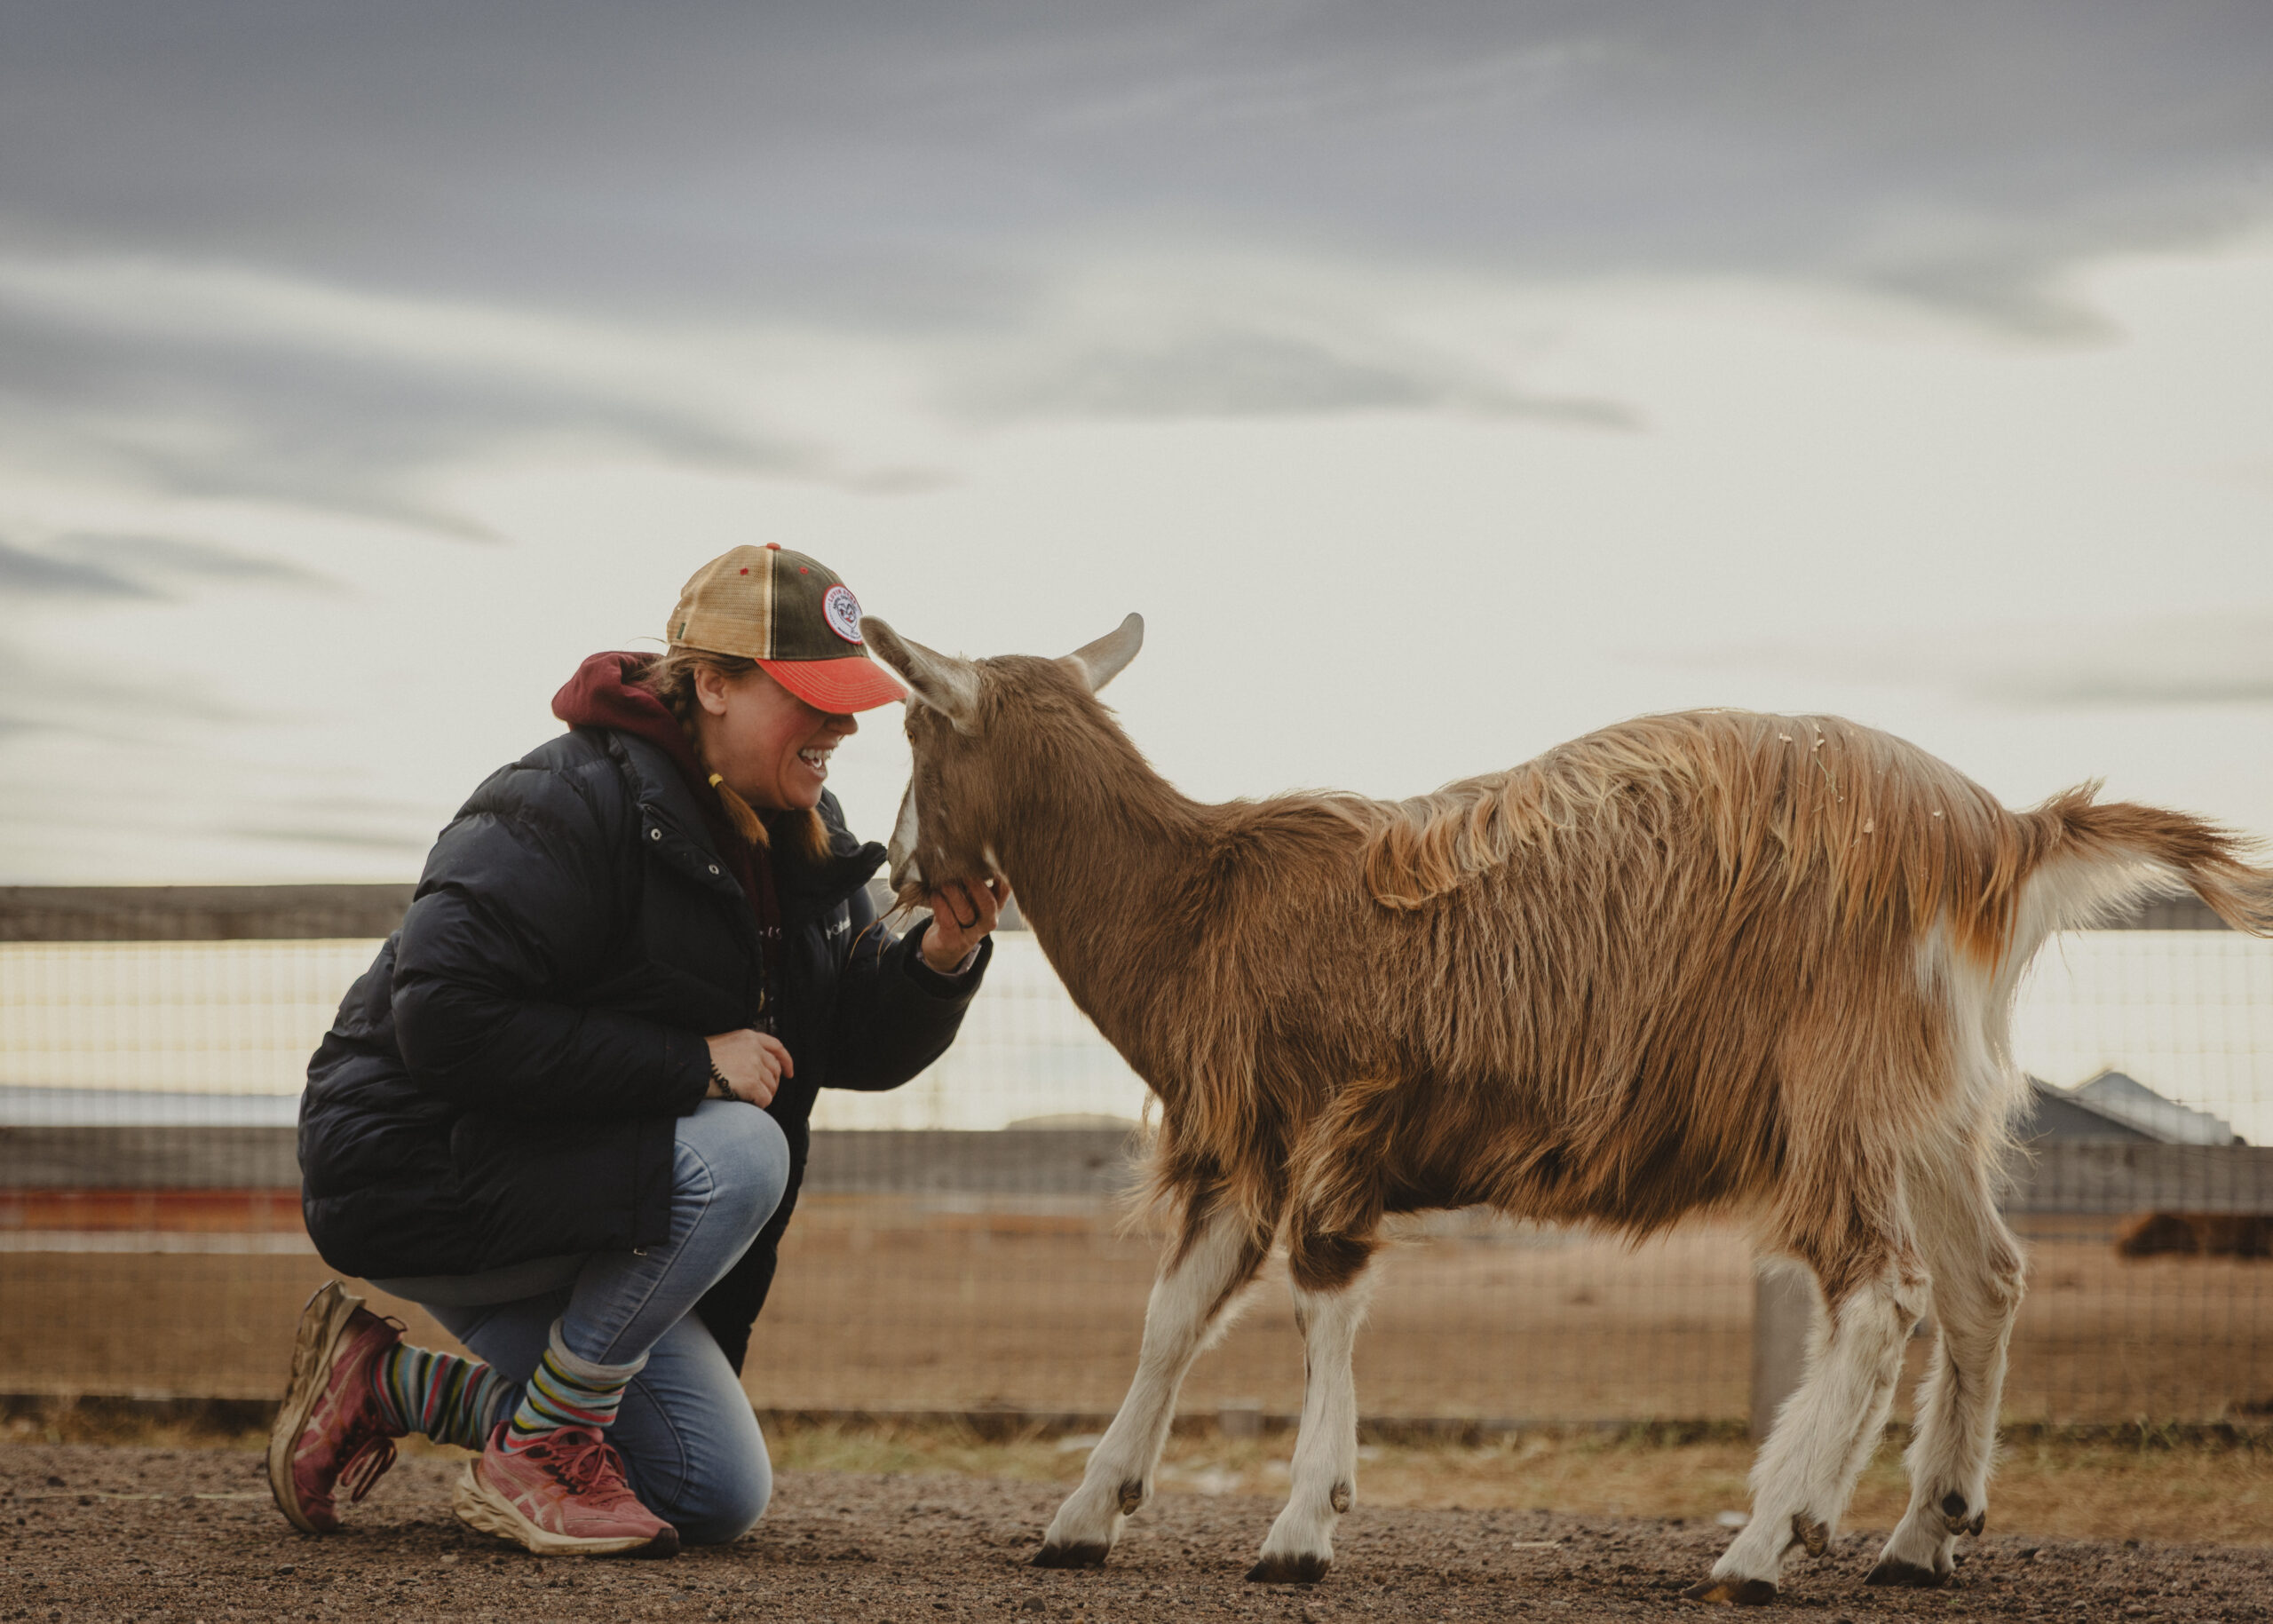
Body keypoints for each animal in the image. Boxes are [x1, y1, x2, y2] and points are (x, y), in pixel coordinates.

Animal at [862, 612, 2272, 1605]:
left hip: (1834, 1085)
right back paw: (1924, 1534)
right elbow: (1170, 1321)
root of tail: (2000, 836)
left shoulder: (1329, 1123)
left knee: (1883, 1289)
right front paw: (1085, 1515)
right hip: (1925, 1100)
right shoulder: (1239, 1140)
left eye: (919, 737)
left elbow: (1322, 1302)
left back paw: (1768, 1539)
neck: (1197, 899)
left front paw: (1302, 1523)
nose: (894, 872)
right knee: (1986, 1279)